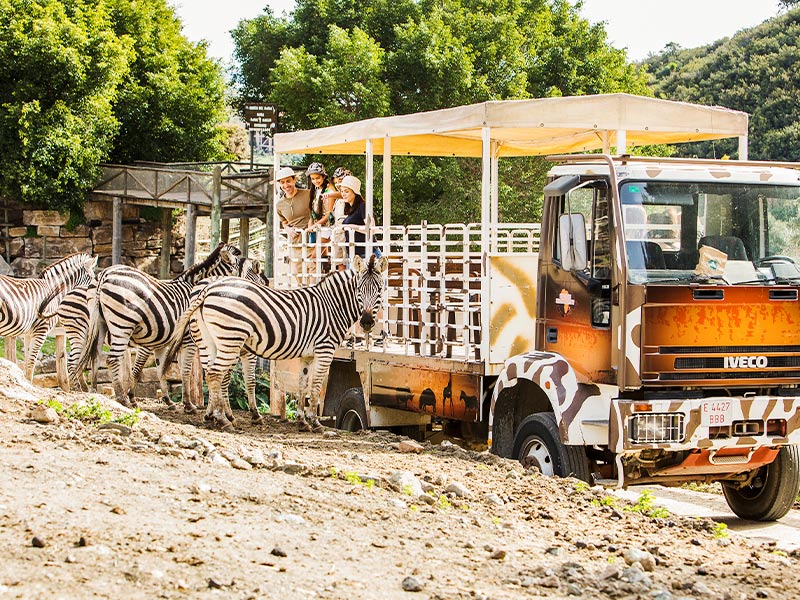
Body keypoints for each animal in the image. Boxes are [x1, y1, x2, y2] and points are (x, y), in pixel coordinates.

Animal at [76, 244, 258, 408]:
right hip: (121, 324)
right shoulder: (187, 339)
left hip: (99, 325)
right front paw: (187, 404)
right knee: (110, 359)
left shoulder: (160, 341)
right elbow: (184, 370)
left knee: (94, 356)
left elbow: (161, 369)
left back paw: (93, 391)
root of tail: (105, 273)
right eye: (254, 275)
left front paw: (167, 400)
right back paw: (121, 398)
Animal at [164, 253, 390, 432]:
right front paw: (315, 423)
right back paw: (222, 420)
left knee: (211, 374)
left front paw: (302, 422)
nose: (367, 322)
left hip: (210, 340)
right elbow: (315, 387)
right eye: (359, 290)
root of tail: (208, 289)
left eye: (380, 289)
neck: (331, 306)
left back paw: (213, 416)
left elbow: (302, 386)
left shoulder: (307, 355)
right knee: (215, 374)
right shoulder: (324, 350)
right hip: (230, 338)